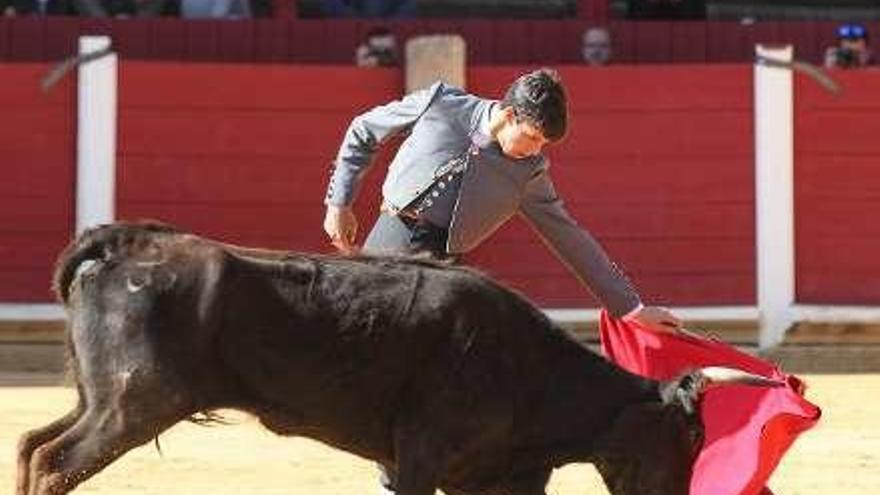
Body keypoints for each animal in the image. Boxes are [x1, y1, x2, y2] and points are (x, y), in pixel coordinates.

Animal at [13, 223, 768, 494]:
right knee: (54, 461)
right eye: (689, 437)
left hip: (102, 396)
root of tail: (123, 243)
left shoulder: (501, 478)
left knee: (29, 444)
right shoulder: (423, 457)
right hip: (136, 403)